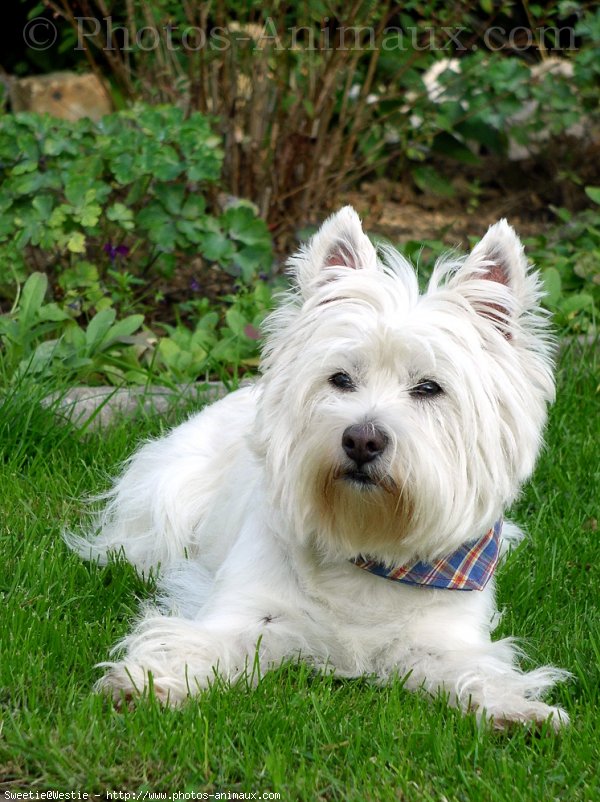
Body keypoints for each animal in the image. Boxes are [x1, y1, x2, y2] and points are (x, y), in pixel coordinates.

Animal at [69, 205, 568, 724]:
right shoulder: (249, 612)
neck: (366, 542)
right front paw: (147, 683)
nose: (362, 440)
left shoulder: (442, 639)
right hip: (166, 499)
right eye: (340, 379)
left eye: (429, 388)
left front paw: (519, 709)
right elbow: (200, 644)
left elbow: (474, 669)